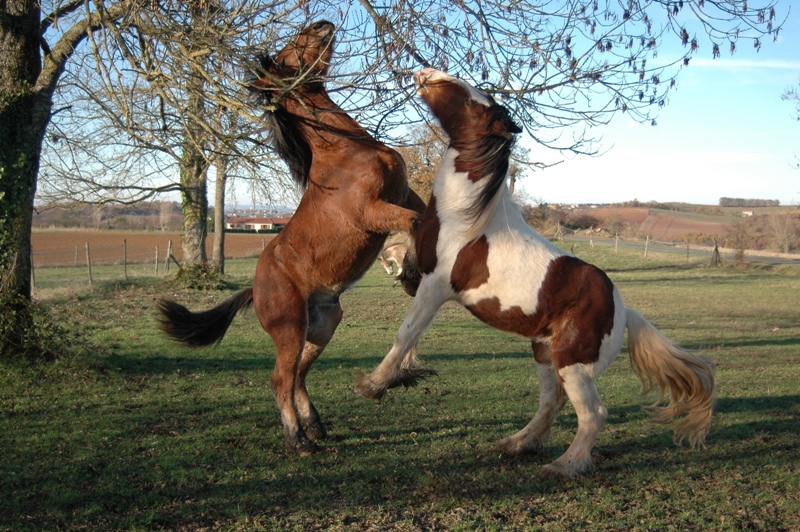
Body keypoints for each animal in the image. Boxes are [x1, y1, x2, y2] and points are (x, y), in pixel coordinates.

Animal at [159, 19, 428, 454]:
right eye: (288, 52)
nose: (321, 24)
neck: (344, 152)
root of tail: (255, 288)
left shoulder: (405, 194)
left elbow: (425, 219)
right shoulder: (372, 211)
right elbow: (416, 225)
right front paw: (410, 275)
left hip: (322, 324)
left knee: (299, 376)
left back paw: (315, 426)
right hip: (289, 330)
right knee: (280, 380)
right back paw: (299, 440)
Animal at [356, 68, 712, 480]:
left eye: (472, 102)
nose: (424, 73)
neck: (466, 218)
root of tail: (624, 312)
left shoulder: (436, 286)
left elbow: (406, 331)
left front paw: (373, 384)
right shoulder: (423, 277)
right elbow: (408, 303)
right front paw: (399, 374)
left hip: (573, 365)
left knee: (593, 414)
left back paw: (563, 466)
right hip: (544, 353)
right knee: (551, 403)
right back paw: (517, 444)